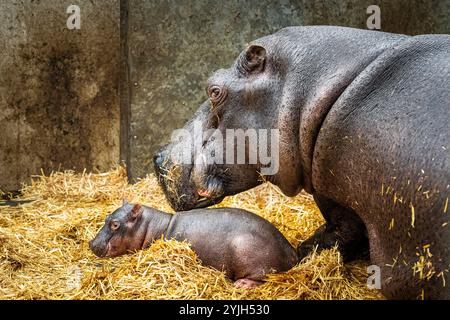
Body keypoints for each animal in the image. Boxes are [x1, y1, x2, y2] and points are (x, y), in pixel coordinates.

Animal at [89, 202, 298, 288]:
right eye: (106, 217)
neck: (154, 225)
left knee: (263, 278)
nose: (91, 242)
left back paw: (241, 284)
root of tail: (292, 252)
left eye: (115, 224)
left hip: (246, 250)